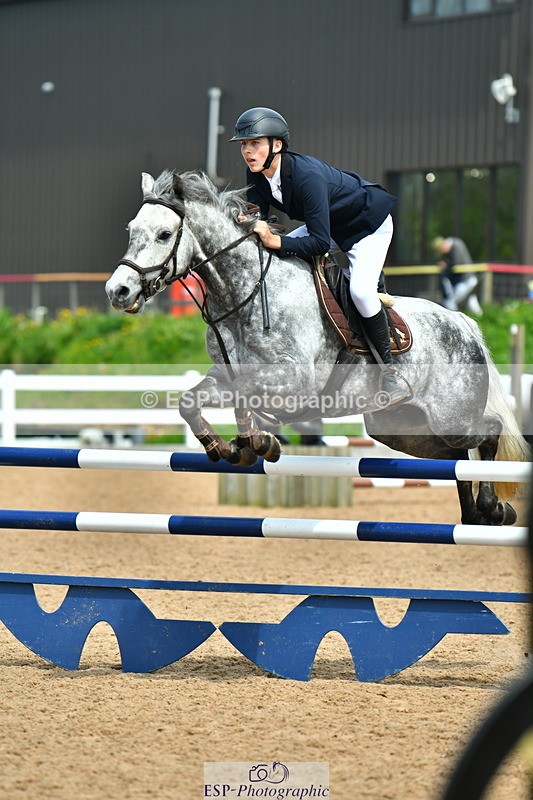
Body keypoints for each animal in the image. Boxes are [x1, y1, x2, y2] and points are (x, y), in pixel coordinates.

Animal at [105, 169, 530, 526]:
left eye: (164, 234)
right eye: (130, 229)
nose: (117, 291)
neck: (245, 293)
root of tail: (462, 322)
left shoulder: (295, 380)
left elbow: (244, 392)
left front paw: (258, 442)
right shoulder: (223, 375)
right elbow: (190, 402)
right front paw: (232, 447)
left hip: (450, 417)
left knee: (489, 432)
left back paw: (494, 508)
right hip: (404, 430)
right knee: (457, 461)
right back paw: (477, 514)